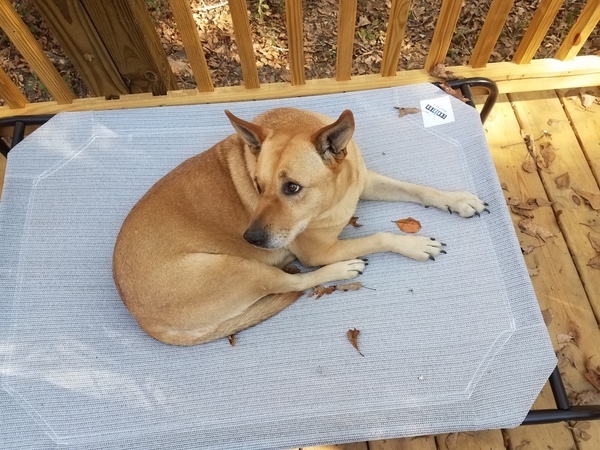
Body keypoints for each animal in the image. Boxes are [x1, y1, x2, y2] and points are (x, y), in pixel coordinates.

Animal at [113, 108, 488, 344]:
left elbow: (417, 188)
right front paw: (414, 244)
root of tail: (145, 322)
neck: (333, 197)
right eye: (257, 185)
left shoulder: (364, 183)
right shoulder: (320, 251)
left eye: (292, 187)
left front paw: (456, 200)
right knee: (294, 283)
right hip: (237, 270)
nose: (251, 238)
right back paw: (342, 270)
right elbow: (380, 236)